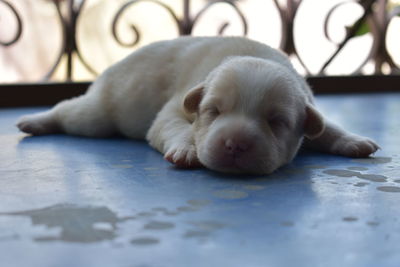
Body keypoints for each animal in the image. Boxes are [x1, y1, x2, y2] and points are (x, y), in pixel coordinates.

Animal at [15, 37, 378, 176]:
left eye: (277, 122)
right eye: (213, 112)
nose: (235, 145)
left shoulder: (308, 108)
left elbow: (326, 127)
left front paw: (353, 140)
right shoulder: (175, 109)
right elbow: (175, 126)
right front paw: (186, 150)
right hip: (97, 115)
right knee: (68, 111)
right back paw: (34, 121)